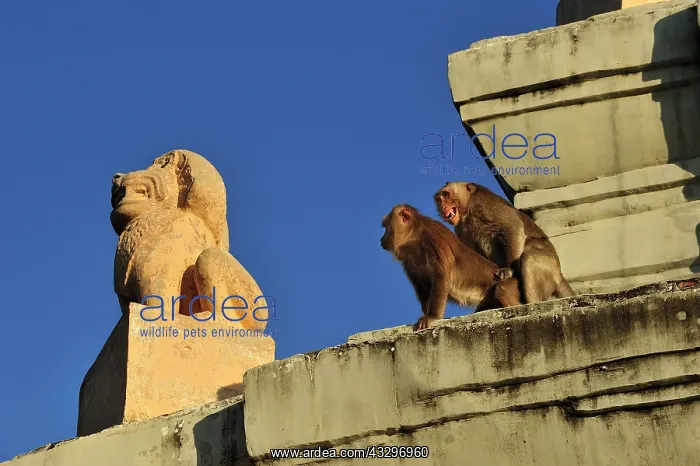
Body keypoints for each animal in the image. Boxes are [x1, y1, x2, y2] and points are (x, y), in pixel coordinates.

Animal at [380, 204, 522, 330]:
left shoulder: (434, 239)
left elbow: (441, 276)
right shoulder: (409, 260)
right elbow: (422, 286)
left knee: (502, 289)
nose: (381, 239)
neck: (416, 239)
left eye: (386, 227)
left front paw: (432, 315)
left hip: (512, 286)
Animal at [433, 182, 575, 304]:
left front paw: (509, 270)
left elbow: (512, 226)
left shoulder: (484, 203)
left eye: (446, 195)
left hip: (550, 267)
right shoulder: (460, 229)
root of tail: (560, 275)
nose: (442, 207)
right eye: (439, 199)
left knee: (529, 255)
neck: (468, 211)